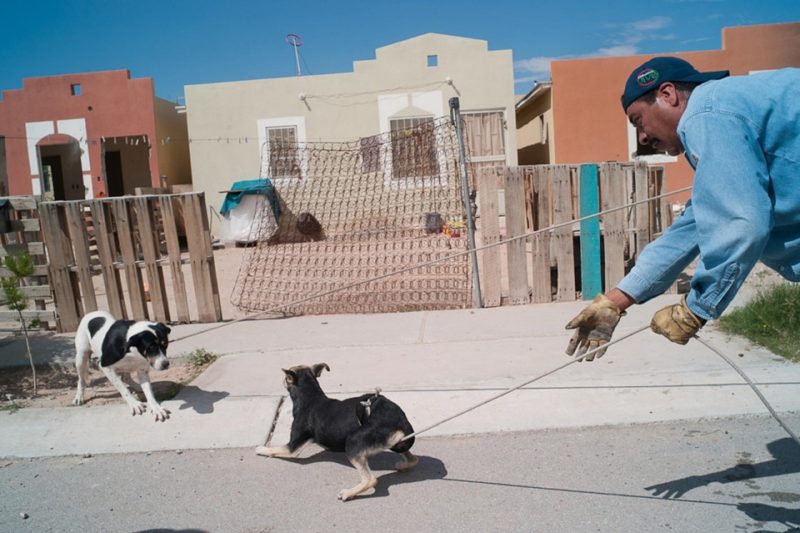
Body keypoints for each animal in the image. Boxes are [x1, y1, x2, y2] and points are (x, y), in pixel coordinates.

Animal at [256, 362, 418, 498]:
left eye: (286, 378)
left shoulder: (292, 448)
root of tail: (401, 420)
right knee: (413, 459)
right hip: (395, 442)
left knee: (370, 480)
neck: (310, 397)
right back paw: (403, 465)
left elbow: (273, 450)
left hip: (353, 442)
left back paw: (348, 493)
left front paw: (261, 449)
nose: (282, 381)